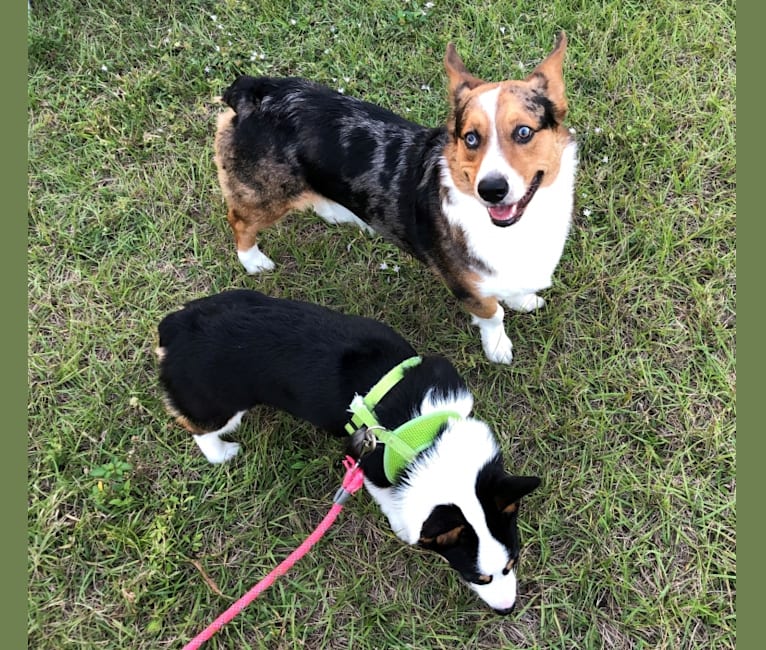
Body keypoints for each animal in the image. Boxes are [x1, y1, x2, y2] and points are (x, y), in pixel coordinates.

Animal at [154, 290, 540, 612]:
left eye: (512, 564)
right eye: (479, 578)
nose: (507, 610)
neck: (430, 439)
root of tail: (174, 327)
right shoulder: (371, 465)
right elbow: (390, 501)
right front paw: (403, 528)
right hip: (218, 404)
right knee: (196, 425)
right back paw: (221, 452)